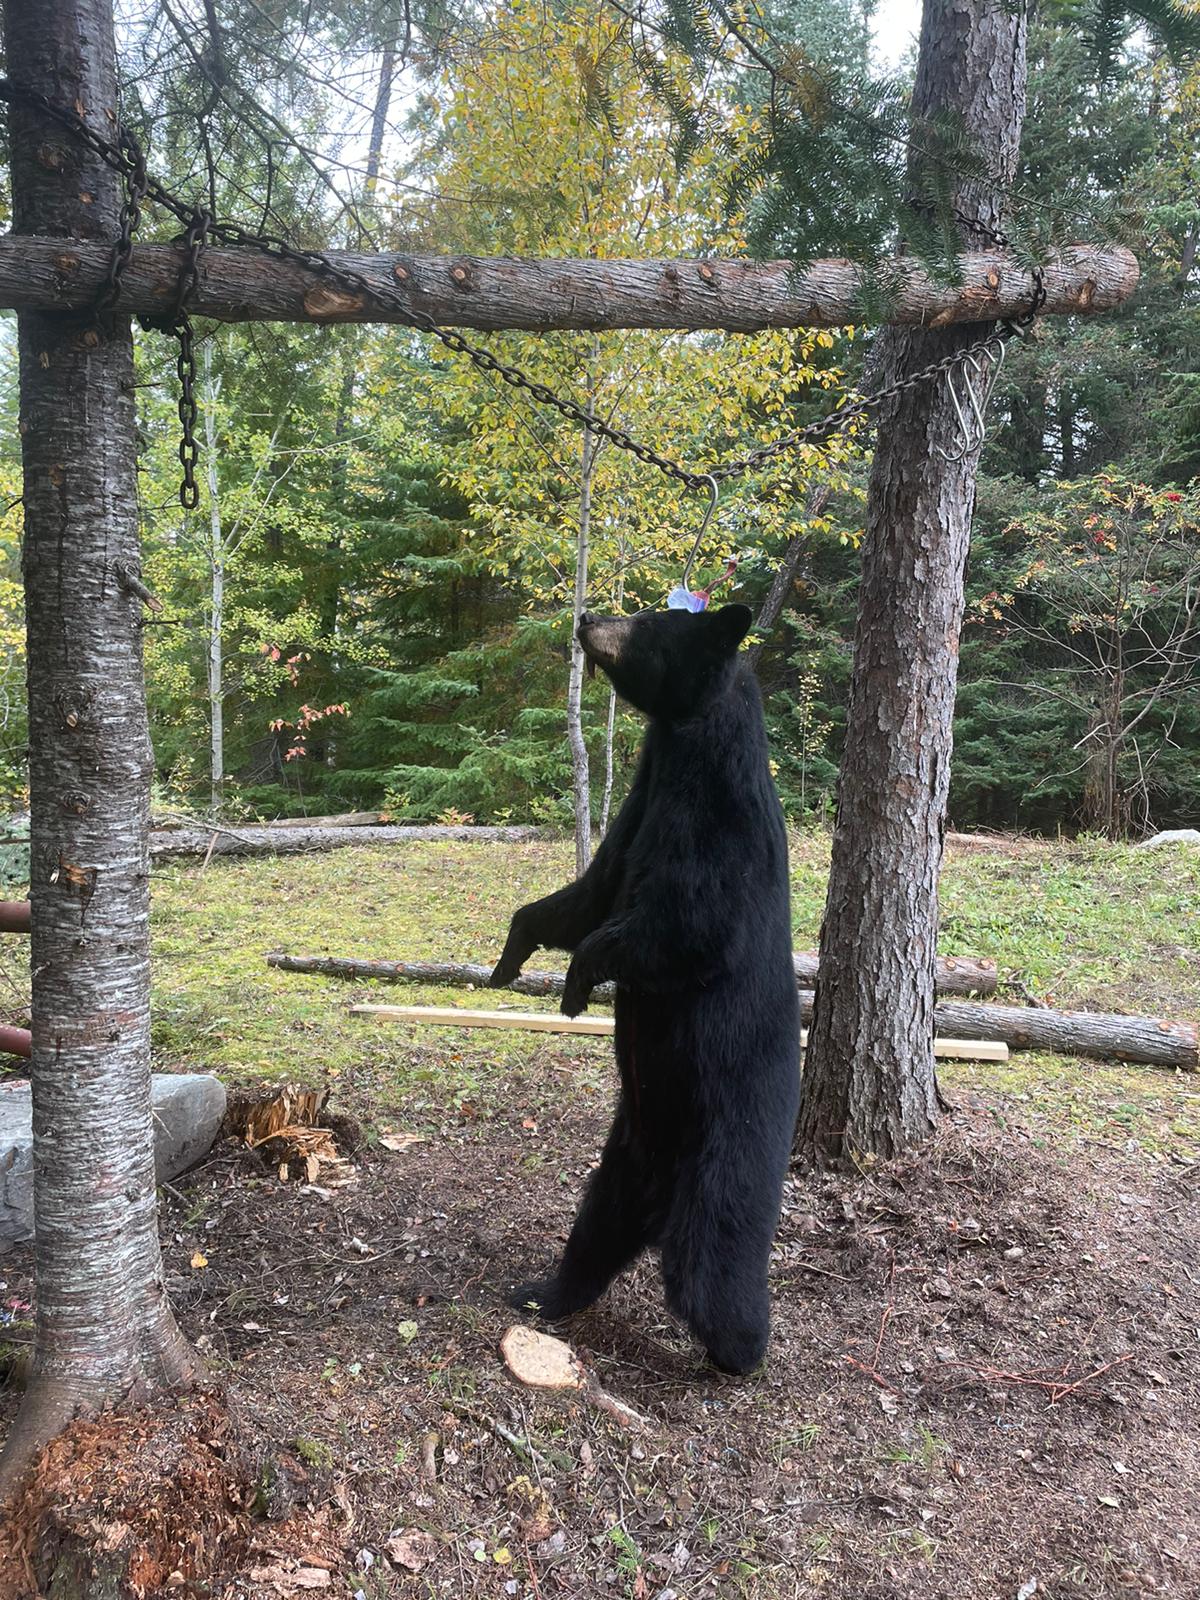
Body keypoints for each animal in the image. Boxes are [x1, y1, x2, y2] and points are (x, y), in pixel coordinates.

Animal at [489, 602, 800, 1374]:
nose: (586, 614)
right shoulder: (639, 805)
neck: (680, 747)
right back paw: (541, 1291)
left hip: (729, 1139)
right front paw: (511, 957)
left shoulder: (720, 818)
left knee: (714, 1251)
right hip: (626, 1151)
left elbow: (686, 925)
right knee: (596, 1227)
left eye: (649, 623)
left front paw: (577, 982)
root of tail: (661, 1196)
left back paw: (740, 1350)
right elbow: (588, 893)